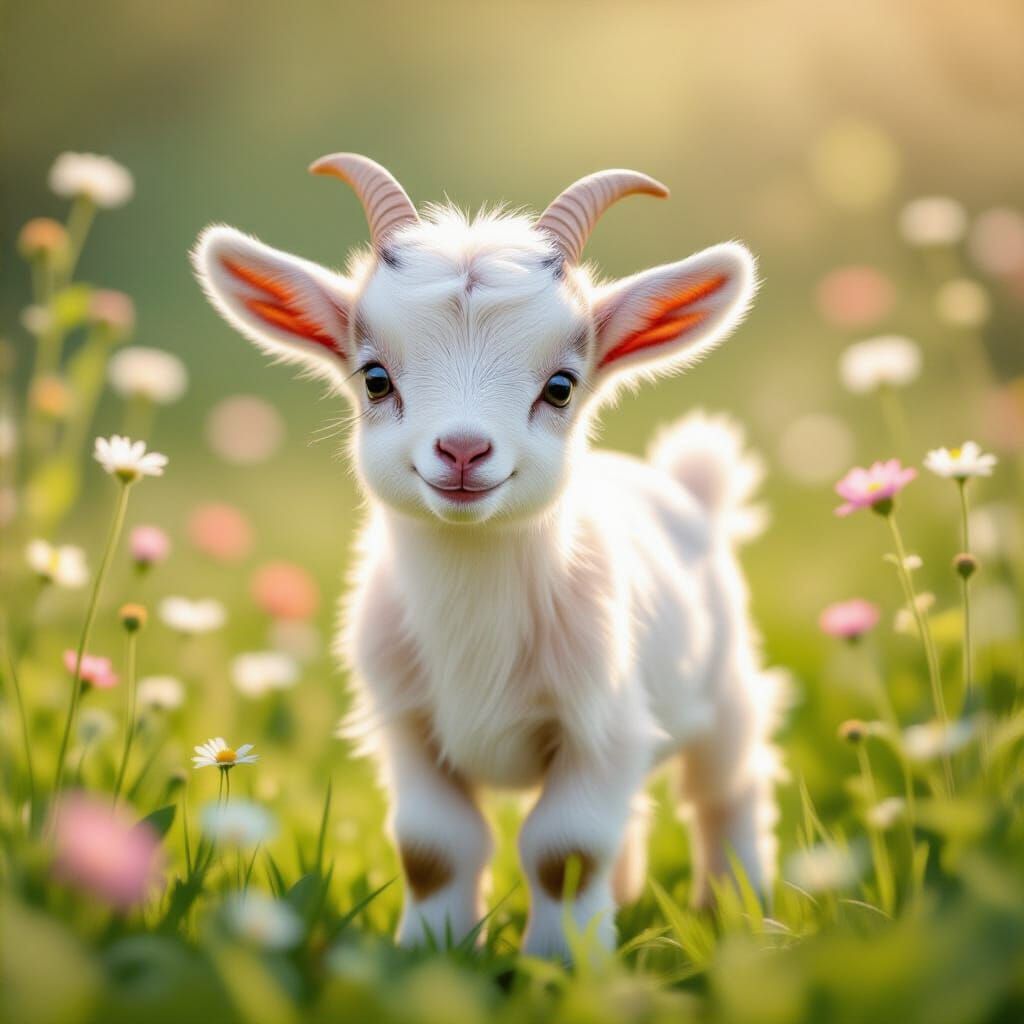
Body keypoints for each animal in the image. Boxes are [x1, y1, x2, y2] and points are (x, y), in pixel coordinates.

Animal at [192, 154, 782, 958]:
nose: (464, 450)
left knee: (726, 790)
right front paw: (429, 950)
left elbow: (565, 849)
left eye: (560, 387)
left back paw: (741, 911)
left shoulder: (602, 726)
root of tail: (693, 489)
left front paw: (561, 964)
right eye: (375, 377)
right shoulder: (406, 724)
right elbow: (432, 845)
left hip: (725, 692)